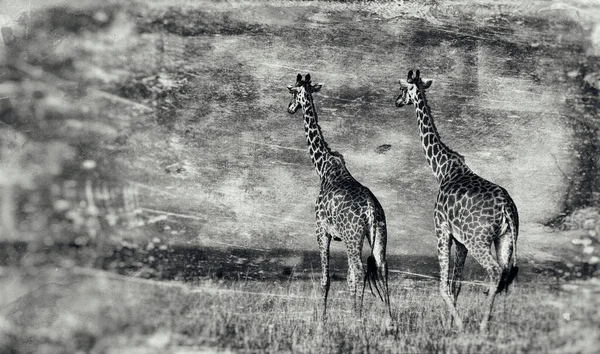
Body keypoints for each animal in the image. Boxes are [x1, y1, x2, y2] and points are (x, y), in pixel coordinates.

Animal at [288, 74, 394, 318]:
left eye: (292, 92)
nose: (289, 108)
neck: (323, 168)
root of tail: (370, 209)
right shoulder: (341, 236)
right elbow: (348, 279)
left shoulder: (321, 230)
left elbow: (327, 278)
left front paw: (323, 319)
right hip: (378, 233)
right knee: (382, 268)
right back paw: (389, 320)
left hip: (353, 235)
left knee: (359, 269)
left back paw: (360, 319)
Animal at [394, 69, 520, 332]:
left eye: (402, 89)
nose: (396, 101)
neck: (442, 169)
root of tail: (506, 208)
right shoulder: (460, 241)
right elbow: (456, 284)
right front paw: (450, 324)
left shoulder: (441, 229)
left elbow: (444, 286)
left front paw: (458, 326)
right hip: (505, 239)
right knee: (506, 276)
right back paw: (499, 323)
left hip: (478, 240)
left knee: (495, 272)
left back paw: (482, 326)